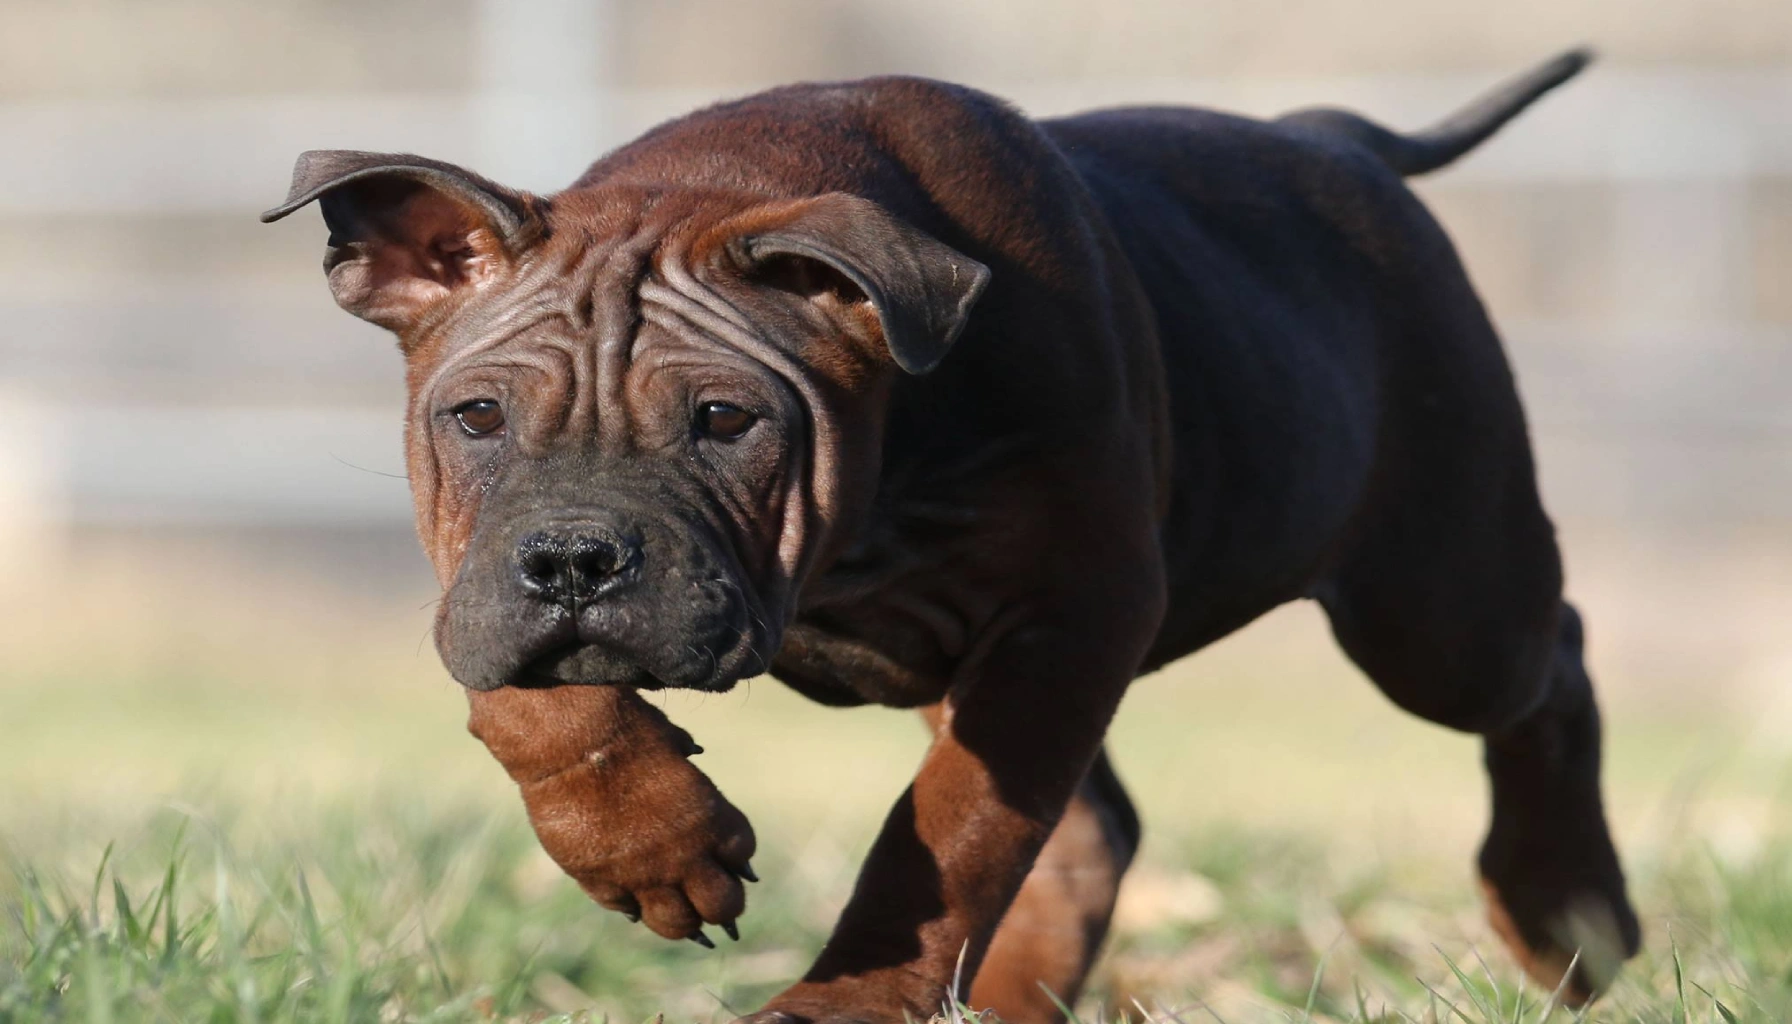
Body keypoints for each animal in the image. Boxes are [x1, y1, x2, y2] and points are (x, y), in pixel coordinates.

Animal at [261, 47, 1641, 1024]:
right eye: (476, 417)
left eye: (724, 419)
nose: (572, 559)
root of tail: (1332, 137)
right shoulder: (475, 586)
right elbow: (523, 698)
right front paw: (649, 837)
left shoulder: (1070, 614)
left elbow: (951, 825)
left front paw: (848, 1003)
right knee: (1092, 831)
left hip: (1439, 604)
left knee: (1553, 662)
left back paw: (1563, 909)